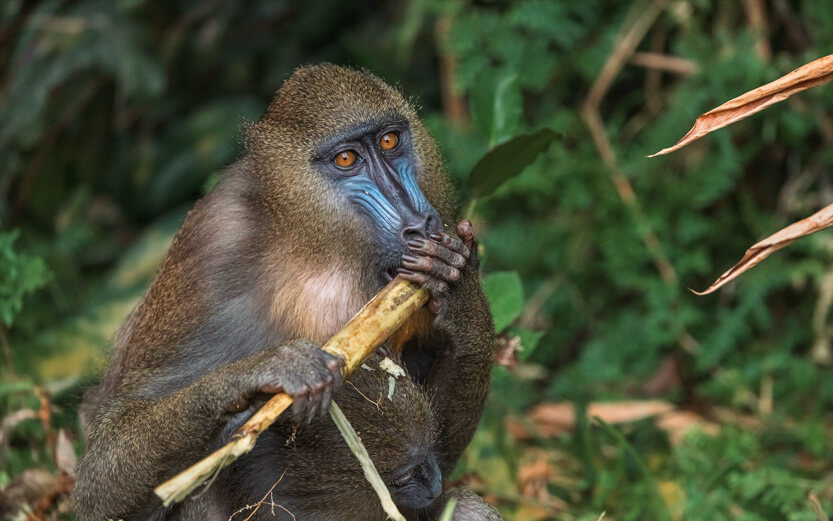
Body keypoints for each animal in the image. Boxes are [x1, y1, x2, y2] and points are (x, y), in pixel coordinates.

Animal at [73, 64, 500, 521]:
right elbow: (104, 468)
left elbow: (440, 453)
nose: (419, 224)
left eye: (390, 141)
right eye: (346, 159)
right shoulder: (213, 245)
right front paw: (257, 373)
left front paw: (457, 282)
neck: (318, 245)